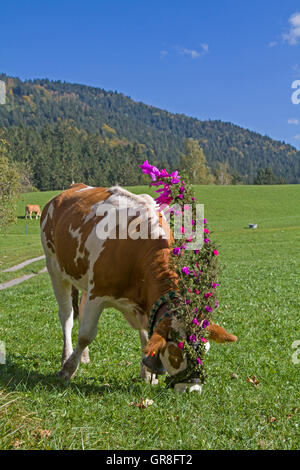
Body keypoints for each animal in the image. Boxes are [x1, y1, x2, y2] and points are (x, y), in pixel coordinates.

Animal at [40, 184, 237, 392]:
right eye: (176, 353)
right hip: (54, 268)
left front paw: (148, 374)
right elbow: (86, 335)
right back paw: (66, 356)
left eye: (206, 350)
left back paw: (84, 357)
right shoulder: (99, 293)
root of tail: (73, 188)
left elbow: (146, 337)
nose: (193, 390)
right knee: (67, 316)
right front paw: (68, 370)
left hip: (85, 278)